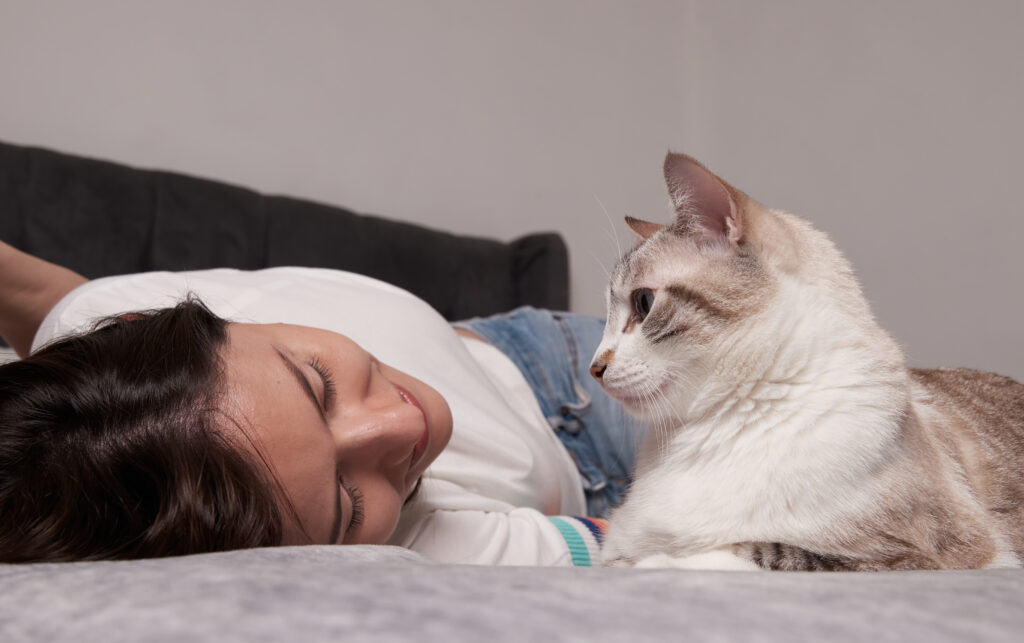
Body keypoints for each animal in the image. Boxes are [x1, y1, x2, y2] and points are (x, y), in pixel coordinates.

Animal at [589, 153, 1024, 569]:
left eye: (643, 303)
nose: (594, 369)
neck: (708, 429)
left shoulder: (923, 556)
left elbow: (756, 551)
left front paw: (658, 563)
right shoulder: (615, 543)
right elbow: (609, 554)